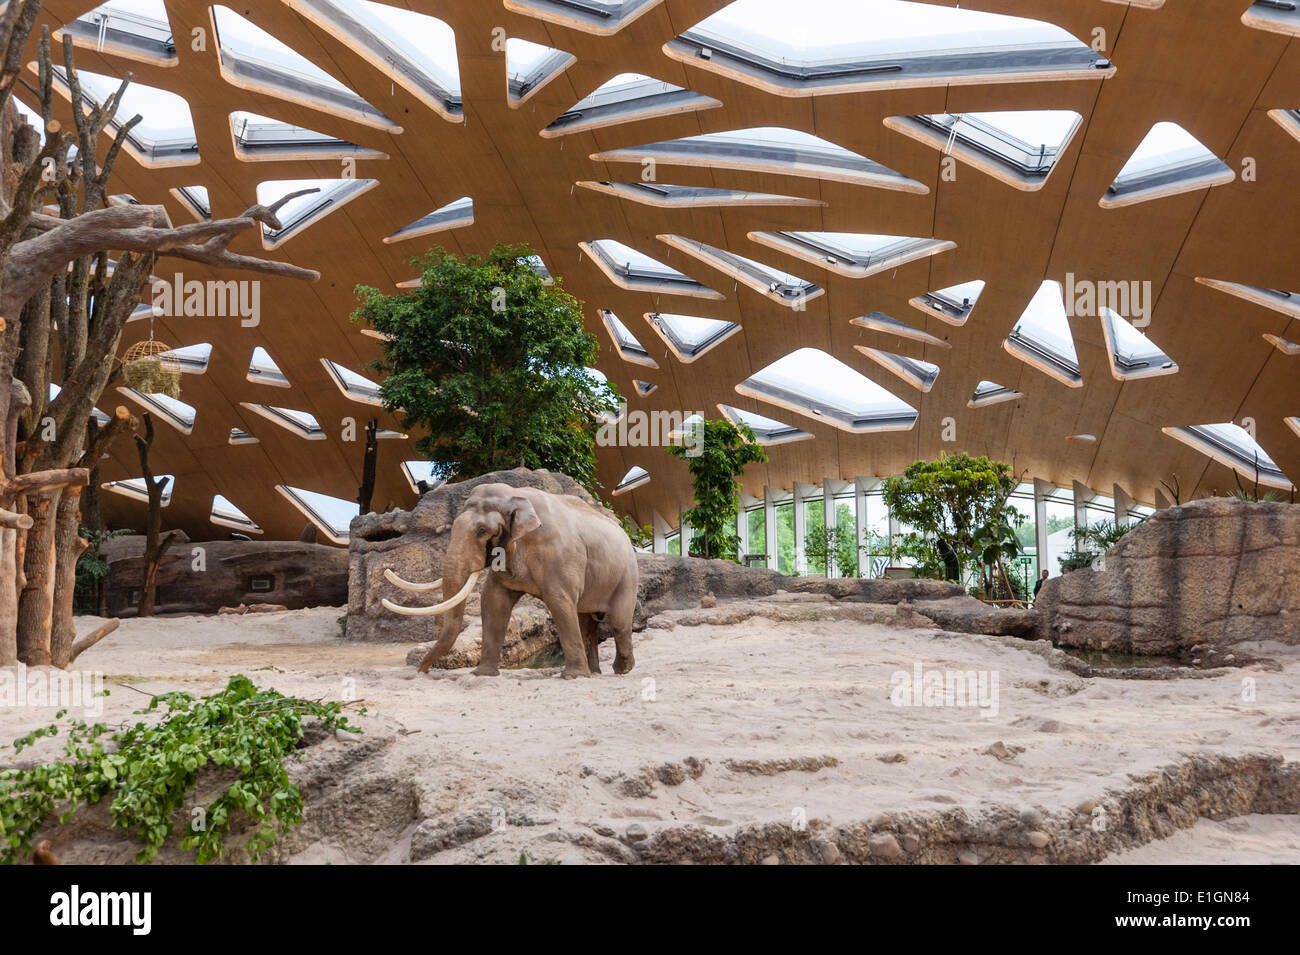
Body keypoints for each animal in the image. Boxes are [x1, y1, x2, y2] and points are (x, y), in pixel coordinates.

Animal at [379, 485, 637, 680]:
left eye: (482, 531)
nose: (422, 671)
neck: (516, 495)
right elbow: (493, 600)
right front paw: (482, 674)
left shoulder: (560, 556)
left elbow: (560, 603)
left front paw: (572, 677)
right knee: (587, 622)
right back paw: (595, 672)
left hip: (627, 576)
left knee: (618, 622)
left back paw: (620, 670)